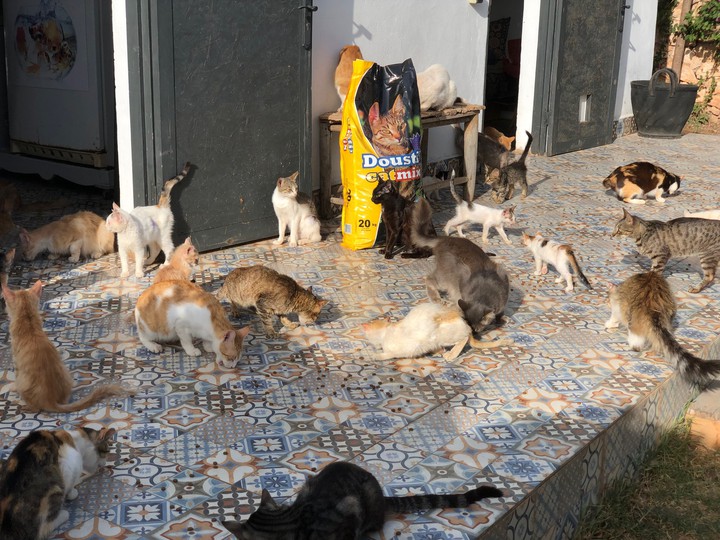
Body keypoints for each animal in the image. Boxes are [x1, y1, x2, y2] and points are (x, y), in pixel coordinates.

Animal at [1, 280, 133, 412]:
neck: (29, 323)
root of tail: (51, 402)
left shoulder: (17, 363)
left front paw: (12, 387)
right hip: (65, 372)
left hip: (24, 382)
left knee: (35, 408)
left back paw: (24, 405)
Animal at [363, 302, 511, 361]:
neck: (386, 332)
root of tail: (465, 324)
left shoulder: (398, 350)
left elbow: (386, 355)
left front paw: (375, 356)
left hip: (443, 335)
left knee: (463, 339)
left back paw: (451, 354)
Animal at [411, 198, 510, 336]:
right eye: (467, 324)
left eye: (477, 328)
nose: (472, 333)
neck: (486, 291)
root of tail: (444, 239)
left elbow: (500, 311)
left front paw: (501, 318)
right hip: (445, 277)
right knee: (429, 278)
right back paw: (436, 299)